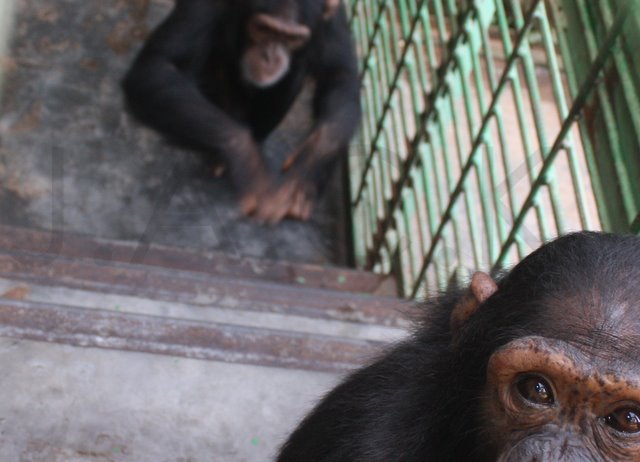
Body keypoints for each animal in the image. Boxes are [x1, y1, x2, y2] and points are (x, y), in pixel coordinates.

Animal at [120, 0, 360, 224]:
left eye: (291, 38)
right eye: (264, 28)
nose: (270, 55)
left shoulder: (334, 17)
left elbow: (341, 77)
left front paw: (306, 172)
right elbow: (158, 65)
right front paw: (250, 166)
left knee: (298, 68)